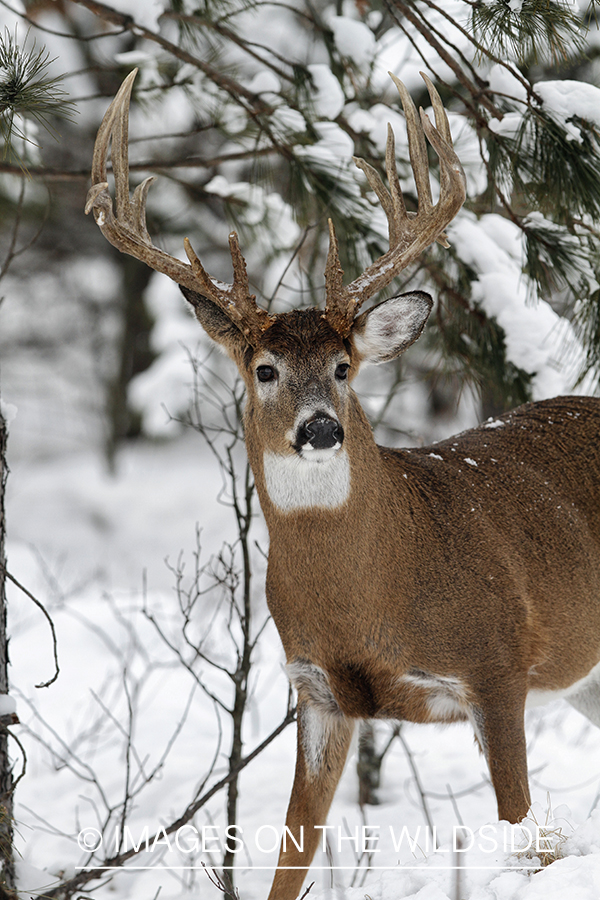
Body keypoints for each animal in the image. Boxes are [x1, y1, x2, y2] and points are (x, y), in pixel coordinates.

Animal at [88, 68, 600, 892]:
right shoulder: (317, 689)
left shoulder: (497, 664)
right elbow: (290, 858)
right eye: (264, 369)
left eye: (342, 366)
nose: (321, 428)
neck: (372, 595)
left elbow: (523, 835)